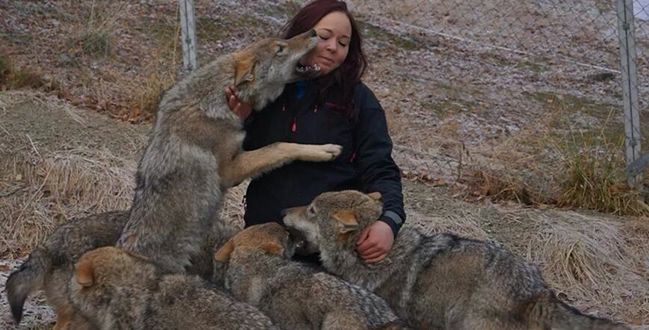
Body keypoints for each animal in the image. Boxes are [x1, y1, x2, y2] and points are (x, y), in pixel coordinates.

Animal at [116, 29, 342, 276]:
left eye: (283, 41)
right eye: (280, 49)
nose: (314, 31)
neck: (214, 100)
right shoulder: (230, 171)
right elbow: (280, 146)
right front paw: (325, 150)